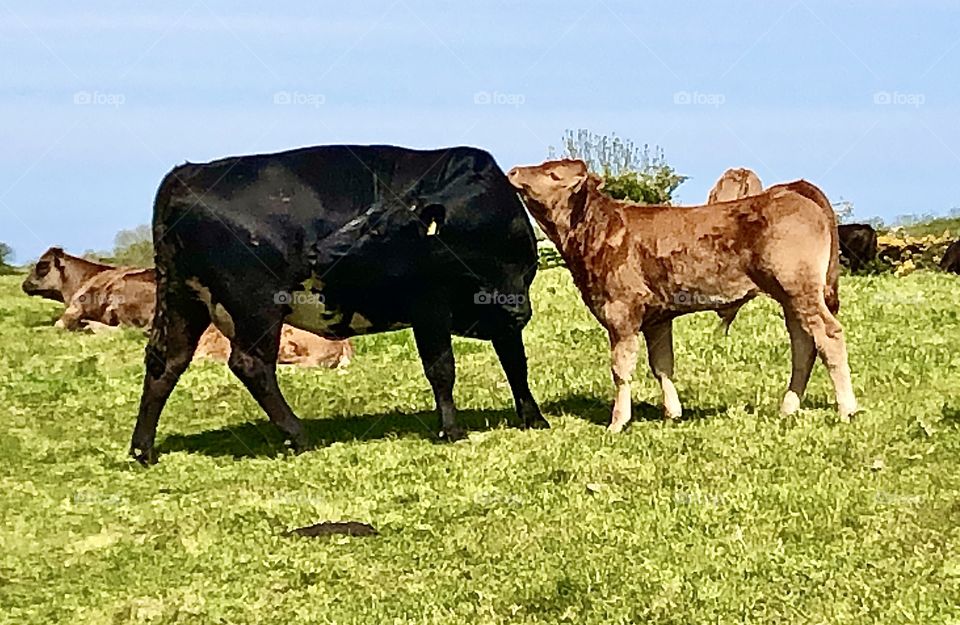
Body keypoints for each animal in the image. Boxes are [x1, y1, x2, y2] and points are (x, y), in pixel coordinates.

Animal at [130, 145, 546, 464]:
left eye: (377, 228)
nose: (318, 252)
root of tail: (187, 174)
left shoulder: (508, 308)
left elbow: (515, 362)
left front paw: (534, 419)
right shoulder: (429, 305)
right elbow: (441, 368)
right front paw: (453, 430)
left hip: (184, 298)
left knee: (166, 362)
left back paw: (142, 450)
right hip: (255, 303)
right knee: (251, 364)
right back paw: (299, 435)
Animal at [507, 159, 857, 432]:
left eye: (554, 175)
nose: (512, 171)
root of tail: (791, 189)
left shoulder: (621, 310)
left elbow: (621, 368)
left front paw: (618, 422)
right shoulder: (657, 318)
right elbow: (662, 364)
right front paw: (672, 413)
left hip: (799, 289)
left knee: (829, 336)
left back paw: (846, 409)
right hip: (791, 296)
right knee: (803, 343)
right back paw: (788, 408)